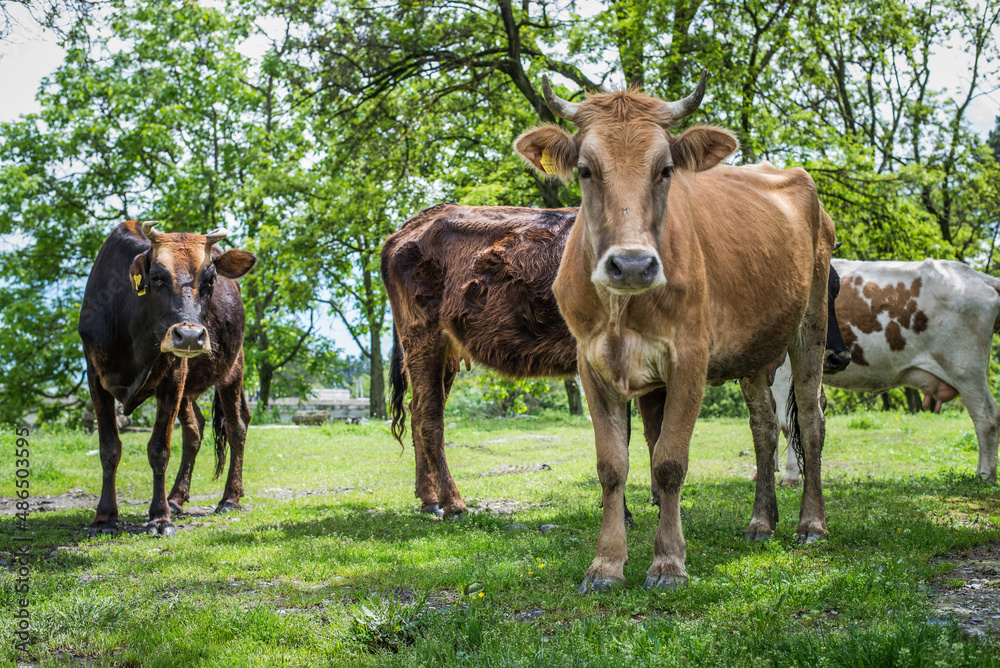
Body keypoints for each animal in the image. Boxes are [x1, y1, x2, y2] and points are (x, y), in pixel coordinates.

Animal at [78, 220, 256, 536]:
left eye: (210, 280)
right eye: (157, 277)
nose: (189, 336)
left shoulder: (173, 376)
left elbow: (159, 449)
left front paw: (160, 518)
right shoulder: (95, 377)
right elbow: (109, 449)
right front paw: (104, 518)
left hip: (233, 367)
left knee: (237, 426)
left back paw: (229, 498)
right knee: (195, 429)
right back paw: (176, 497)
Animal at [383, 205, 851, 521]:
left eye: (837, 287)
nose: (838, 355)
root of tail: (412, 225)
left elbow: (654, 433)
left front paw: (659, 501)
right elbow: (621, 436)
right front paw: (625, 510)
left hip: (443, 351)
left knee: (420, 411)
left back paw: (427, 498)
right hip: (423, 336)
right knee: (430, 419)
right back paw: (453, 502)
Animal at [513, 72, 836, 592]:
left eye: (665, 169)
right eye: (585, 170)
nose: (631, 264)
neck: (622, 307)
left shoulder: (690, 357)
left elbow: (668, 462)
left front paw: (668, 562)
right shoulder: (591, 363)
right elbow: (613, 465)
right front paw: (606, 565)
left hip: (811, 325)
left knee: (809, 420)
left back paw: (811, 523)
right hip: (754, 349)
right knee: (764, 427)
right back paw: (761, 521)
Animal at [770, 258, 1000, 485]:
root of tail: (976, 275)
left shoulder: (784, 372)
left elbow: (787, 424)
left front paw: (790, 475)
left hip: (966, 371)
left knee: (988, 419)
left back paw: (984, 475)